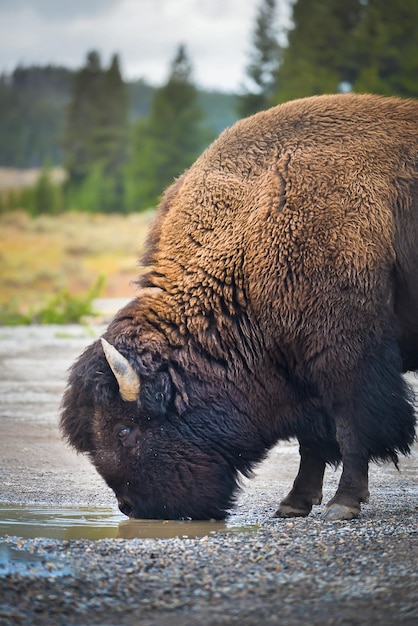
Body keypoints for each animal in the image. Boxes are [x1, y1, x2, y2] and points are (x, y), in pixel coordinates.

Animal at [60, 92, 416, 520]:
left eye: (124, 429)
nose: (131, 508)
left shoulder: (345, 356)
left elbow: (350, 427)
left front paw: (342, 503)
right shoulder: (298, 368)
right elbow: (313, 439)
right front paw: (293, 503)